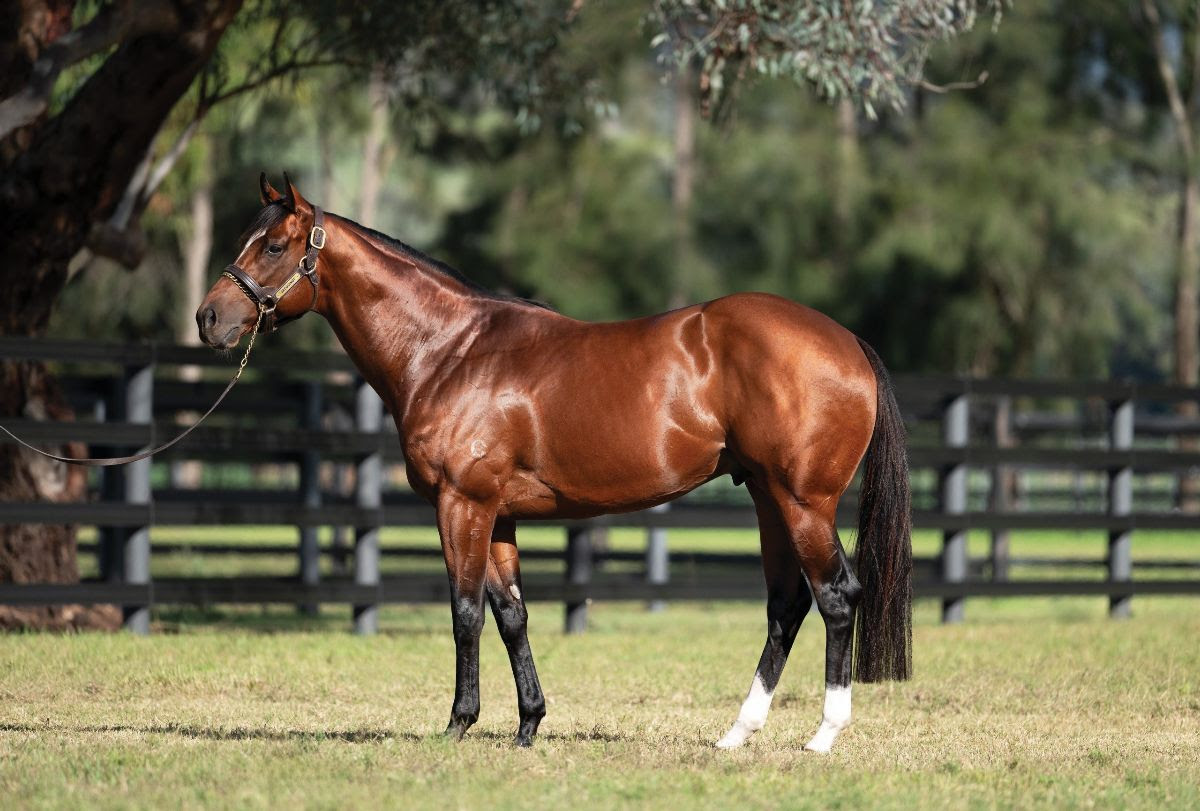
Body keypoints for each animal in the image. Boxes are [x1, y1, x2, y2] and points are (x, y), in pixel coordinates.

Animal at [197, 174, 913, 752]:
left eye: (272, 246)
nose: (209, 318)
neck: (449, 350)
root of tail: (848, 342)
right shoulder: (498, 516)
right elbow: (511, 615)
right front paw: (528, 725)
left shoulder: (462, 504)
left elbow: (465, 613)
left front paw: (458, 724)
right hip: (767, 497)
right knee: (786, 605)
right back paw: (738, 732)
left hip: (803, 502)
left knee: (836, 596)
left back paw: (823, 735)